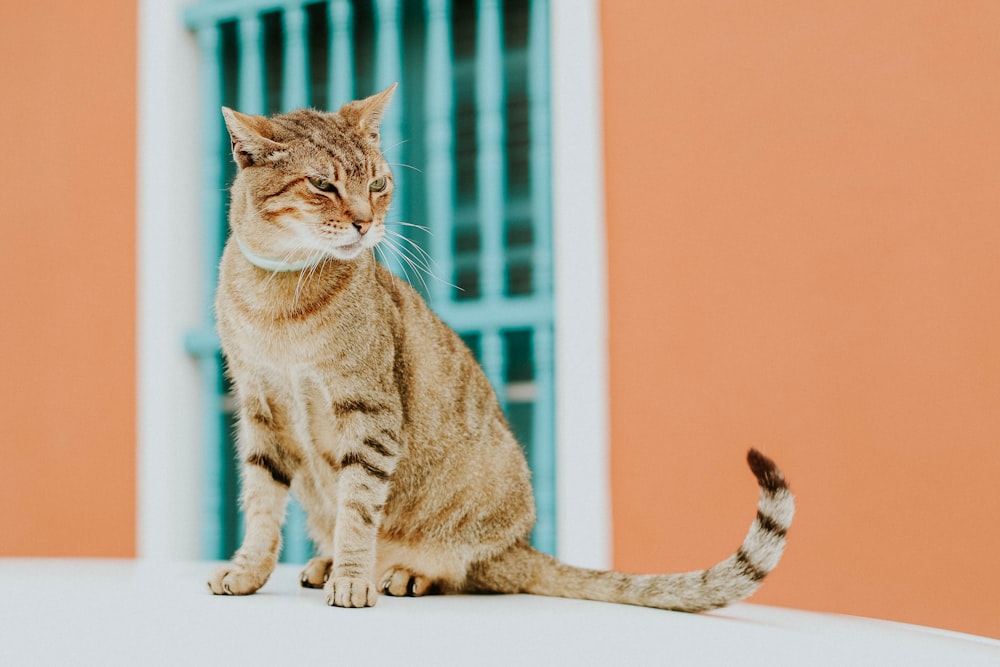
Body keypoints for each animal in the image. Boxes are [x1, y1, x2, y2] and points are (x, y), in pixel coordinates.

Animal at [207, 86, 792, 612]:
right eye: (322, 184)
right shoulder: (260, 408)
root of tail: (521, 546)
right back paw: (327, 563)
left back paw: (402, 573)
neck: (279, 296)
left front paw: (352, 579)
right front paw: (247, 570)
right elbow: (260, 503)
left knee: (465, 570)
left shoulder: (369, 411)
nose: (365, 223)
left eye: (377, 184)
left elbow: (358, 509)